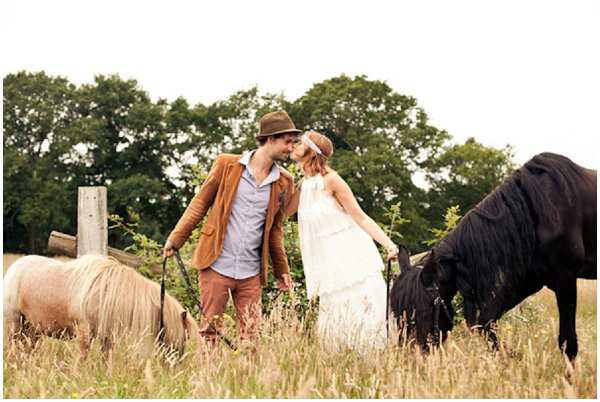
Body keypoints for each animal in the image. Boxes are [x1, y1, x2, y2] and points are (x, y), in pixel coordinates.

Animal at [4, 254, 199, 358]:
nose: (175, 366)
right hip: (15, 325)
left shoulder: (107, 337)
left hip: (32, 330)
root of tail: (14, 268)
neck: (106, 292)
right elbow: (82, 359)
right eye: (183, 337)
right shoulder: (84, 333)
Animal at [390, 152, 596, 360]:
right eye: (396, 313)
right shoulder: (530, 280)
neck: (536, 210)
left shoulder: (565, 279)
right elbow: (485, 322)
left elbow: (568, 342)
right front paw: (511, 355)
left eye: (422, 310)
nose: (408, 358)